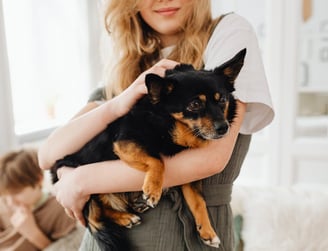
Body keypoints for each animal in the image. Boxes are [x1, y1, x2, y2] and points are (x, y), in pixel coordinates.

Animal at [51, 48, 246, 250]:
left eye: (222, 100)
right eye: (195, 104)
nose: (224, 128)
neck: (171, 126)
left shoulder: (190, 177)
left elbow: (199, 201)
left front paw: (207, 231)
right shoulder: (125, 142)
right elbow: (156, 160)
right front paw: (153, 190)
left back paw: (129, 214)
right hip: (86, 195)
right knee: (94, 219)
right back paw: (127, 216)